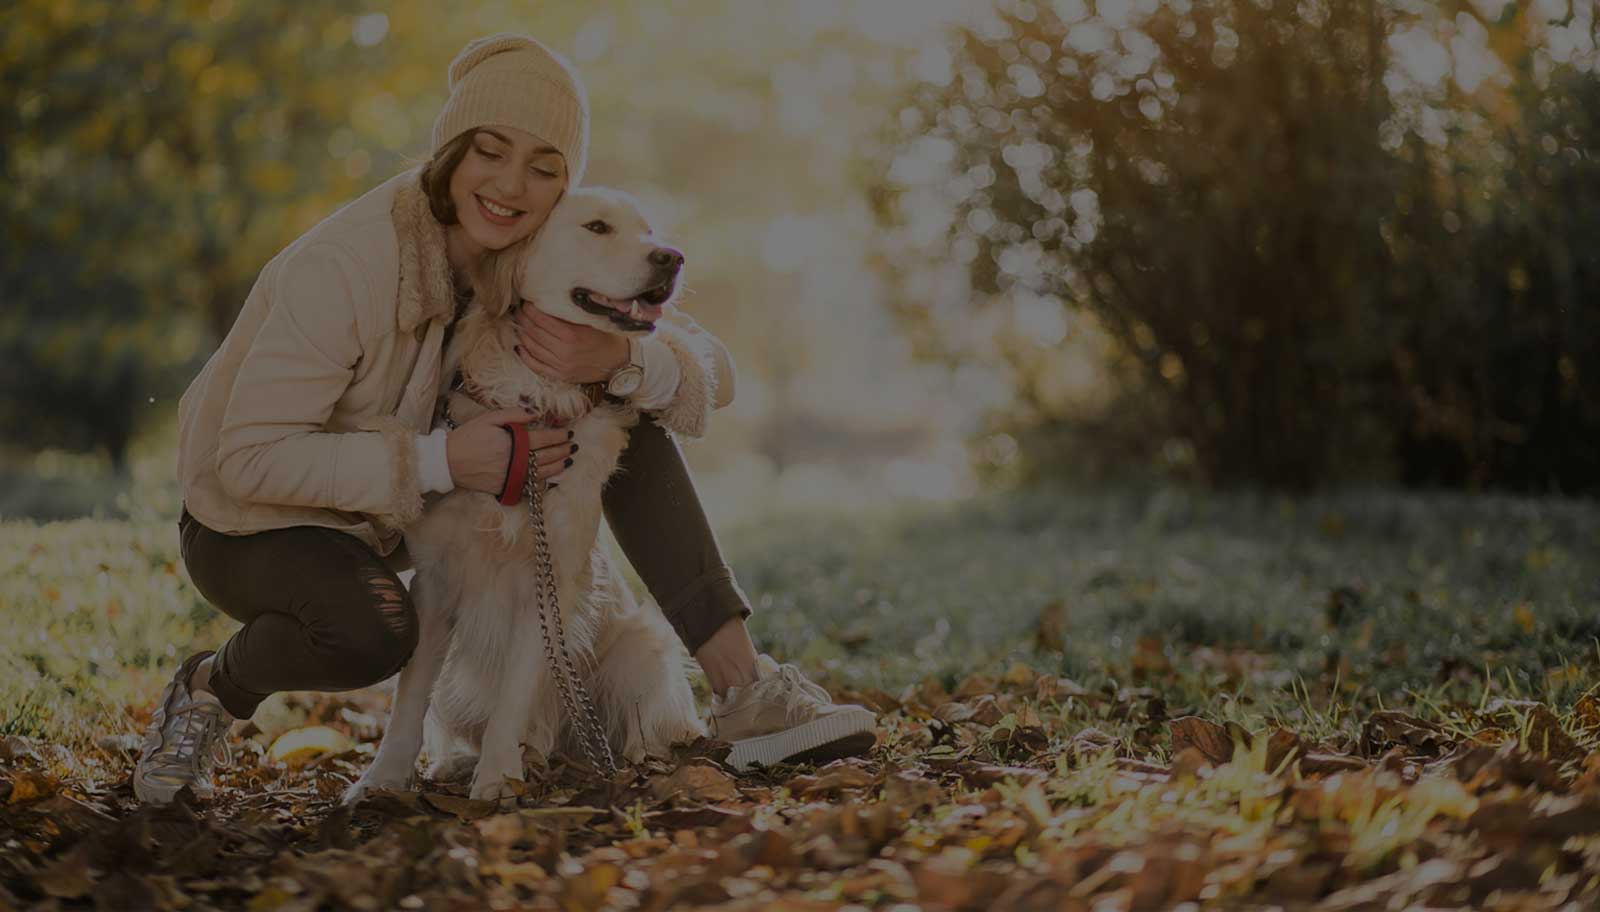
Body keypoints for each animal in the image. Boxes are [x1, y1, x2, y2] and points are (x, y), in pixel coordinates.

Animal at [350, 188, 713, 800]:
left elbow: (516, 693)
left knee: (643, 715)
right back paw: (467, 762)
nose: (673, 258)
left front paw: (498, 777)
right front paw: (384, 777)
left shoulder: (549, 584)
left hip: (639, 645)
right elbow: (409, 696)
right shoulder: (435, 583)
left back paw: (632, 755)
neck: (533, 403)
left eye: (647, 230)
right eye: (597, 227)